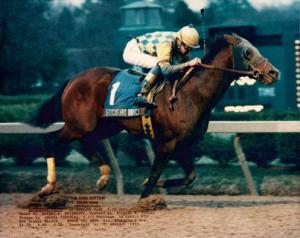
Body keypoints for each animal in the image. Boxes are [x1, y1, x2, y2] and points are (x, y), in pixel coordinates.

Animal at [29, 34, 278, 199]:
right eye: (248, 52)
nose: (274, 72)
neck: (191, 94)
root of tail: (73, 79)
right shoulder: (166, 142)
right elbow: (156, 173)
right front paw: (145, 197)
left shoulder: (185, 143)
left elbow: (189, 176)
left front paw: (154, 182)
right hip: (79, 124)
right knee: (51, 139)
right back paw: (48, 186)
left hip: (105, 126)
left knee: (87, 142)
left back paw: (103, 178)